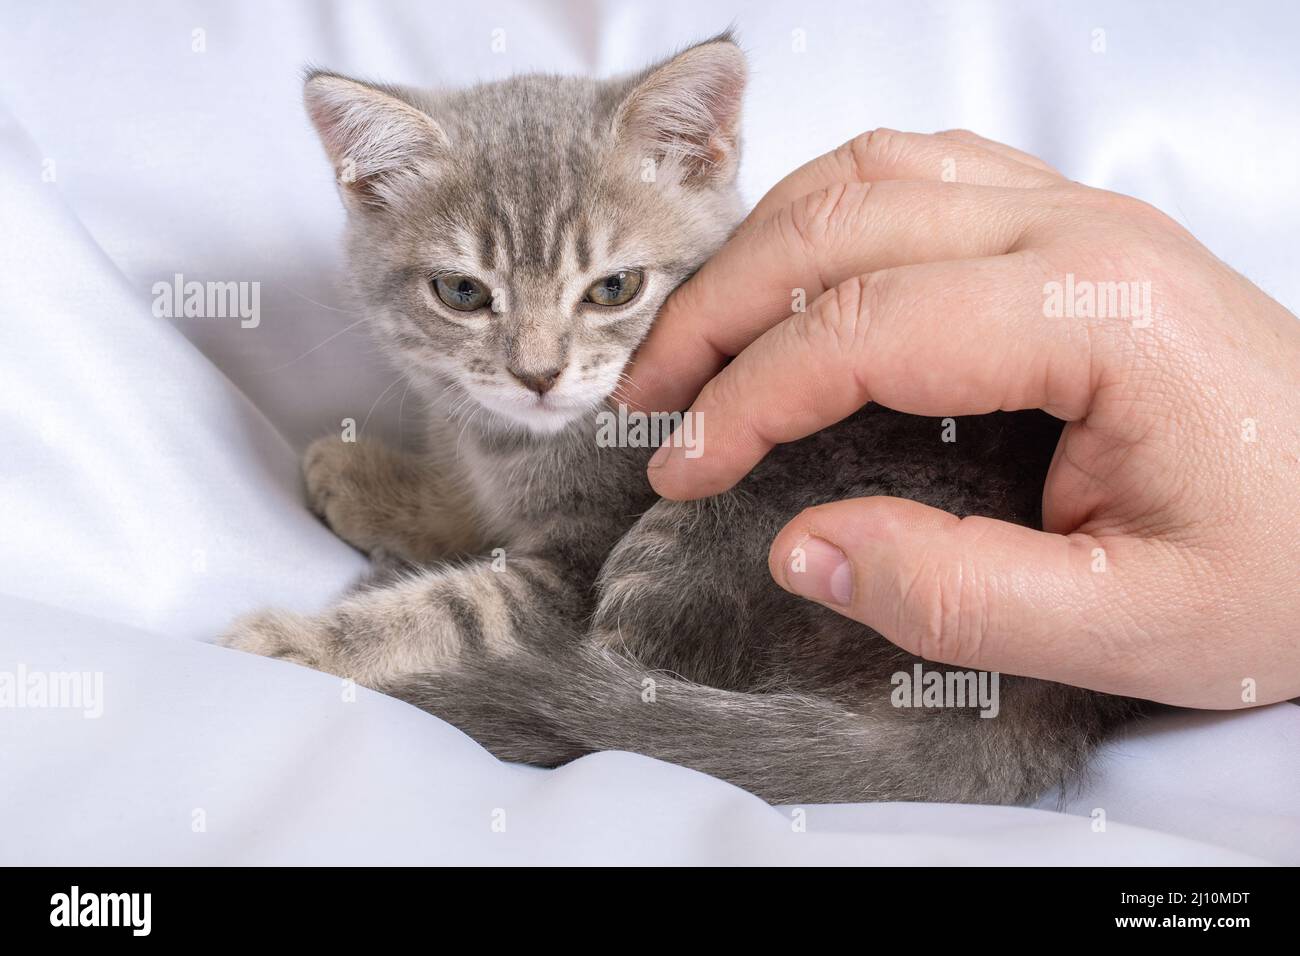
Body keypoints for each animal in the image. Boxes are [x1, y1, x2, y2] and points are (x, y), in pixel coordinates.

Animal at [223, 33, 1138, 806]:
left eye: (614, 288)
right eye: (461, 292)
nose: (537, 373)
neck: (528, 443)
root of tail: (1022, 695)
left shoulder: (574, 570)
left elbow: (465, 611)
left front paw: (297, 641)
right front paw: (372, 480)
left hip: (716, 516)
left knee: (605, 701)